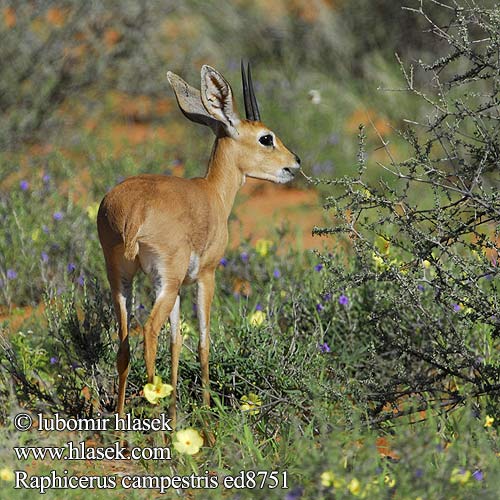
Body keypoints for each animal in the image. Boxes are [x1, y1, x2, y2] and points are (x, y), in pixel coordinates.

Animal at [97, 62, 300, 426]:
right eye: (266, 137)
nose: (294, 163)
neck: (212, 193)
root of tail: (133, 212)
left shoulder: (178, 288)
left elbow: (177, 341)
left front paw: (178, 411)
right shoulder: (206, 276)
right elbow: (204, 340)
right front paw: (205, 411)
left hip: (122, 278)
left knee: (124, 344)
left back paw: (121, 423)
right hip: (165, 282)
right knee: (149, 334)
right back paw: (156, 417)